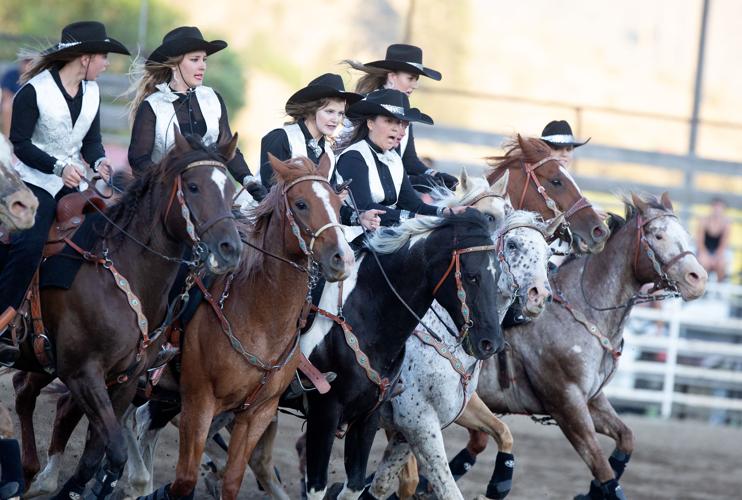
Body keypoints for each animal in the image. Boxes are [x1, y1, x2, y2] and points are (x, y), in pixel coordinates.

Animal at [10, 131, 244, 498]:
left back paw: (32, 471)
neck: (120, 275)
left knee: (24, 391)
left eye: (230, 189)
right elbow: (116, 449)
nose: (230, 250)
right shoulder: (83, 373)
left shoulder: (124, 380)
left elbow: (97, 455)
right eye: (192, 187)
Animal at [139, 153, 358, 500]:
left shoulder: (258, 413)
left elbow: (232, 481)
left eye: (338, 205)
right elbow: (184, 479)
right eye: (301, 204)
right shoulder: (199, 402)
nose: (343, 259)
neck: (260, 319)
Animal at [464, 190, 708, 496]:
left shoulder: (592, 400)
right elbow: (601, 465)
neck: (583, 311)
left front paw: (591, 491)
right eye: (658, 235)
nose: (698, 279)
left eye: (686, 234)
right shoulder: (568, 406)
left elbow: (625, 438)